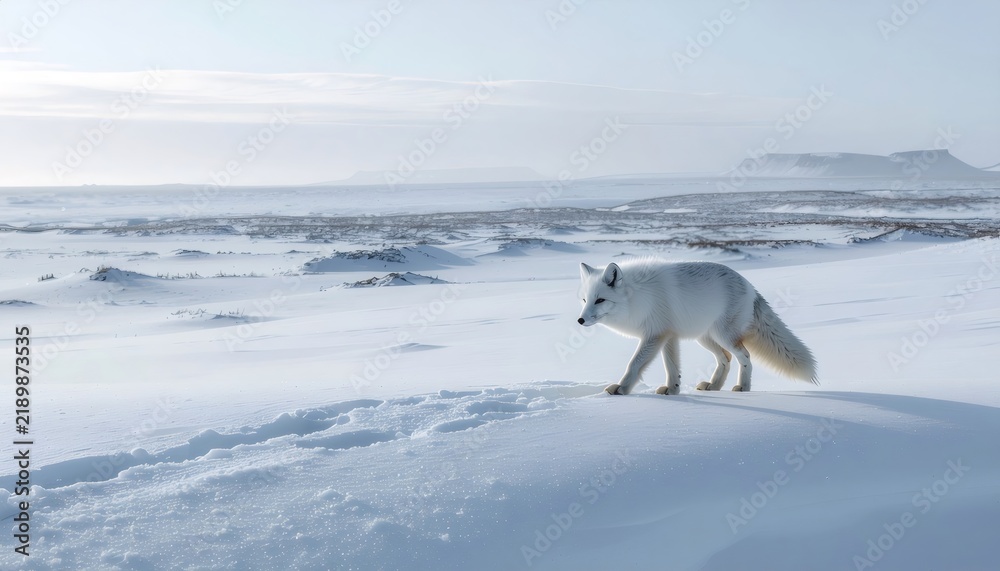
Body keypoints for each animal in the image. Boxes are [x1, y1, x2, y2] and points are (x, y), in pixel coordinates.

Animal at [577, 259, 817, 395]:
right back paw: (714, 386)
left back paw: (743, 388)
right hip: (705, 338)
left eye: (600, 300)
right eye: (585, 300)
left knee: (745, 357)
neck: (638, 296)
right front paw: (672, 390)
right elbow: (672, 368)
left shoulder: (654, 335)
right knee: (725, 359)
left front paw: (621, 389)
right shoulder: (668, 336)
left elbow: (634, 364)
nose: (580, 320)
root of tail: (750, 286)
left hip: (724, 336)